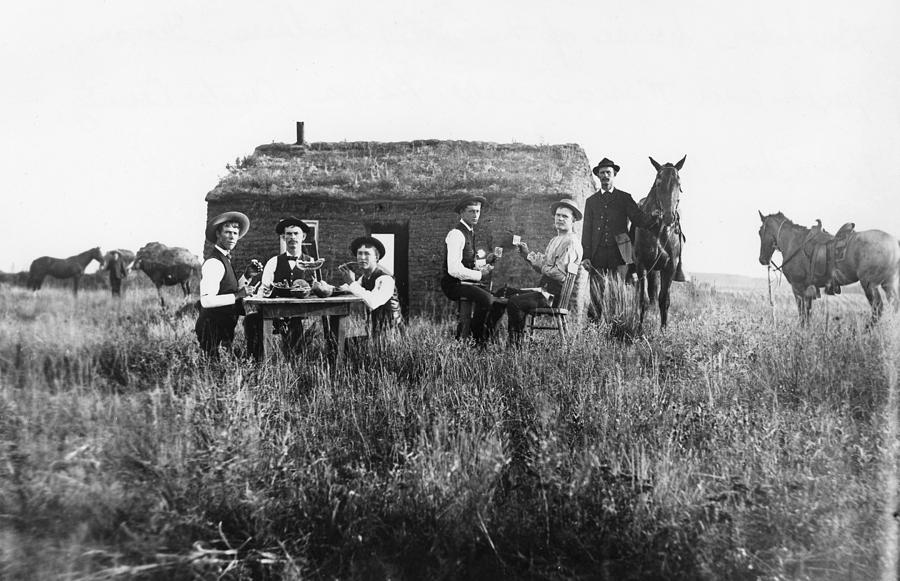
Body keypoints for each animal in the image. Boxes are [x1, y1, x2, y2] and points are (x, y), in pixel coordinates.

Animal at [632, 154, 688, 326]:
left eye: (679, 184)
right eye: (658, 183)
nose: (669, 217)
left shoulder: (669, 267)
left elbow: (664, 300)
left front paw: (663, 330)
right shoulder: (642, 264)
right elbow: (643, 300)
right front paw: (639, 329)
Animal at [756, 211, 896, 324]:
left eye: (760, 231)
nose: (762, 260)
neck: (794, 243)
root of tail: (894, 242)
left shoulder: (798, 288)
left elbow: (802, 315)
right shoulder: (808, 290)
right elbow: (807, 315)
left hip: (869, 285)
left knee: (877, 308)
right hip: (888, 284)